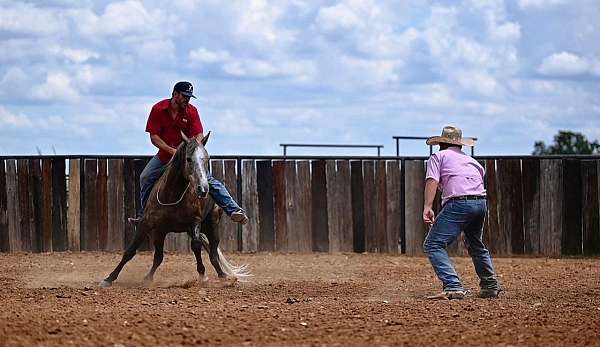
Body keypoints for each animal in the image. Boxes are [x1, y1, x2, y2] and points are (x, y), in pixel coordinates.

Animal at [99, 131, 250, 288]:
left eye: (207, 159)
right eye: (188, 159)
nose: (203, 189)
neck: (172, 195)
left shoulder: (195, 222)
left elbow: (196, 246)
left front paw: (203, 276)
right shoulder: (148, 225)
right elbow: (131, 251)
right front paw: (109, 278)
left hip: (212, 223)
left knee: (213, 253)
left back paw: (223, 275)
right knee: (159, 256)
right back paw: (148, 277)